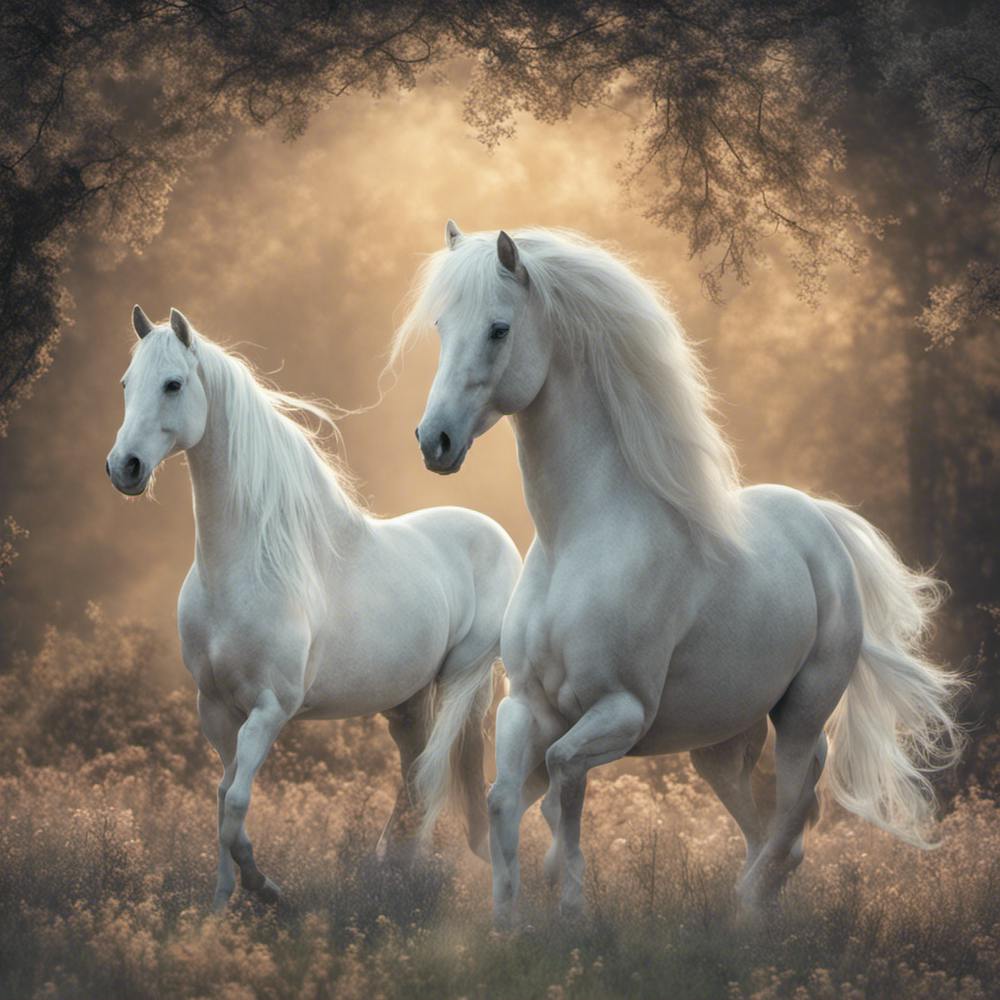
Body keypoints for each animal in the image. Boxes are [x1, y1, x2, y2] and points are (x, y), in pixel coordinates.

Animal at [106, 305, 521, 909]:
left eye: (173, 384)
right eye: (125, 384)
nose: (125, 467)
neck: (246, 567)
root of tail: (497, 535)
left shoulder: (269, 710)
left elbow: (237, 804)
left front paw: (267, 889)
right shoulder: (215, 708)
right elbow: (221, 797)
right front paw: (220, 903)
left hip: (462, 681)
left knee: (448, 767)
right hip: (407, 700)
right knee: (416, 768)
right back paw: (393, 865)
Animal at [398, 222, 965, 926]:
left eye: (499, 329)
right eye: (442, 325)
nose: (435, 441)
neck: (576, 540)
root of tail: (822, 524)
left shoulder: (623, 711)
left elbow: (562, 779)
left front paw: (570, 900)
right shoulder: (526, 706)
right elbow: (505, 799)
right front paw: (508, 922)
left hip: (803, 710)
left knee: (794, 806)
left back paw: (745, 907)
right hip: (718, 744)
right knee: (770, 825)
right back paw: (752, 911)